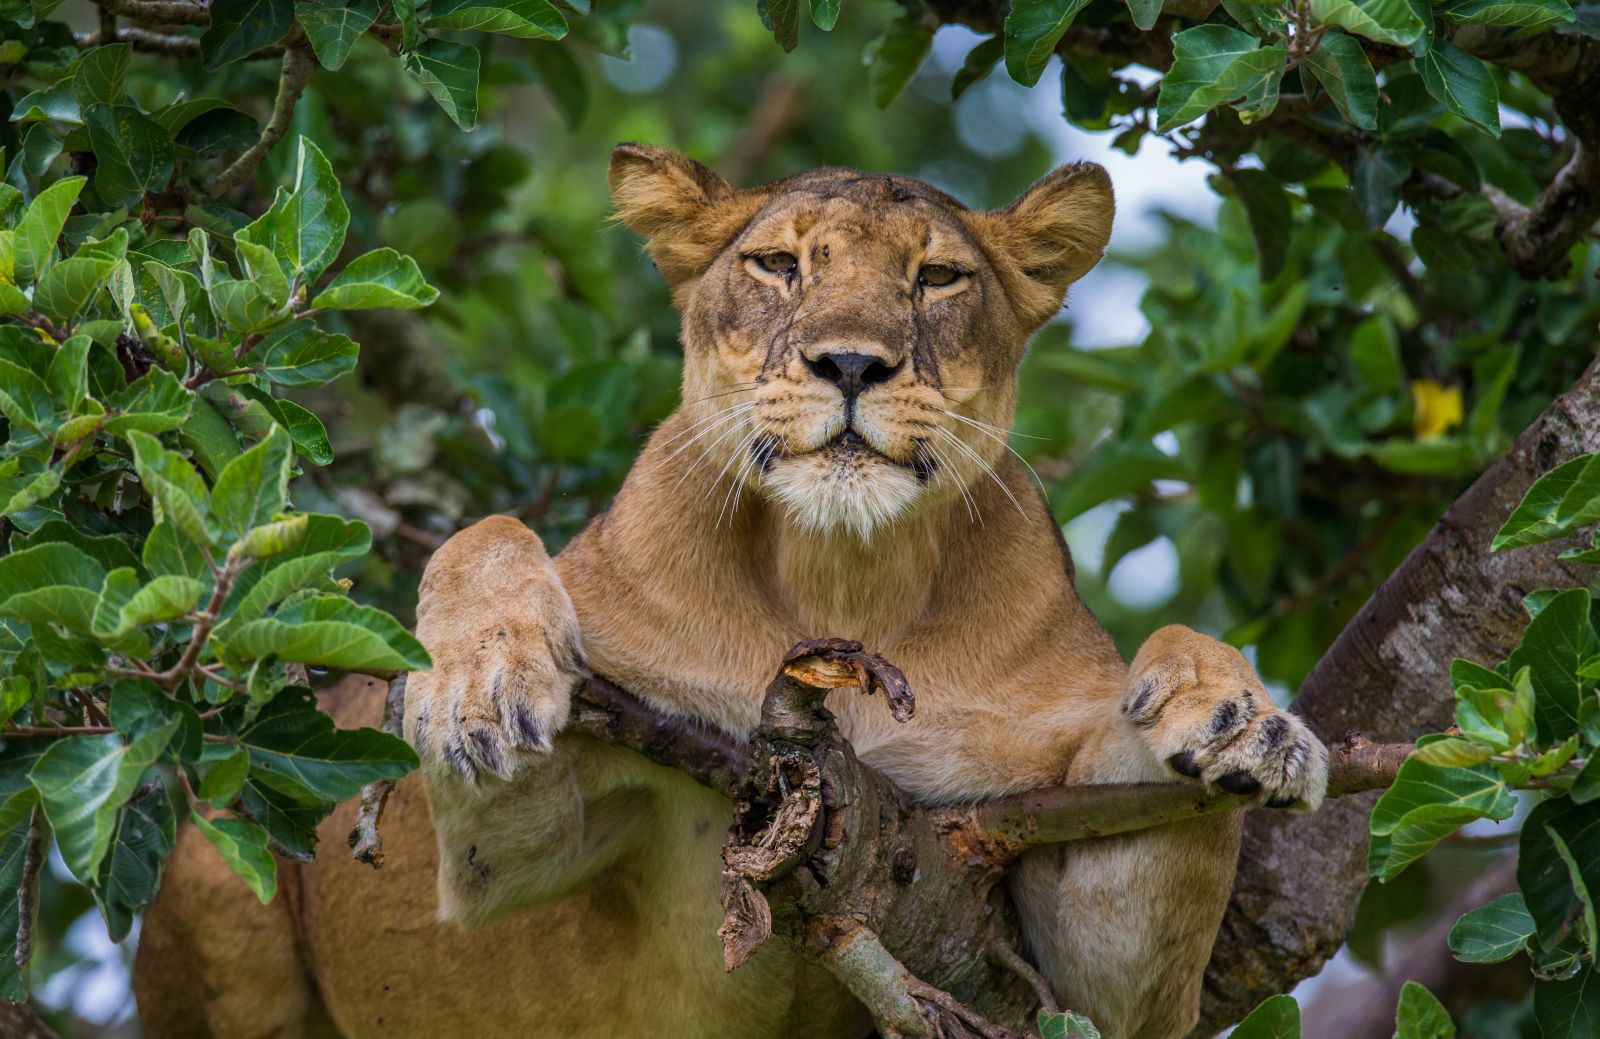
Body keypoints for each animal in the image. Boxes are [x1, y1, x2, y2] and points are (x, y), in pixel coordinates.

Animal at [134, 145, 1328, 1039]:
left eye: (938, 280)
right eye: (777, 265)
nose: (851, 364)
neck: (843, 576)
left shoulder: (1068, 961)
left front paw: (1244, 724)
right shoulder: (502, 854)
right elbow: (490, 537)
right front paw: (478, 682)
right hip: (210, 873)